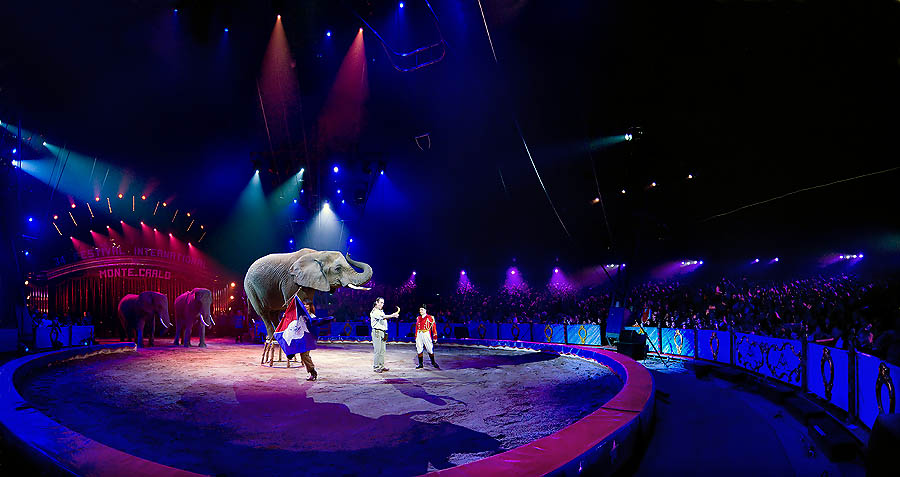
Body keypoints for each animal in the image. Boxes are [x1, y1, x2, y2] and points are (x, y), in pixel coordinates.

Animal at [243, 249, 372, 338]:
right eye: (338, 268)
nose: (349, 253)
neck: (317, 254)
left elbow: (309, 303)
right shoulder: (291, 280)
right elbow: (293, 304)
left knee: (275, 313)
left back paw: (277, 334)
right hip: (250, 288)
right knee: (263, 313)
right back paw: (272, 338)